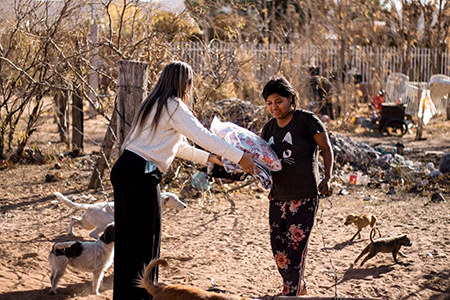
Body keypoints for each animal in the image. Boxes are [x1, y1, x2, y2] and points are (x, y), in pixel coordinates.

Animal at [53, 192, 185, 239]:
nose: (184, 206)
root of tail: (90, 206)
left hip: (86, 223)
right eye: (176, 200)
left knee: (73, 219)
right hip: (104, 223)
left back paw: (70, 232)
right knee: (93, 234)